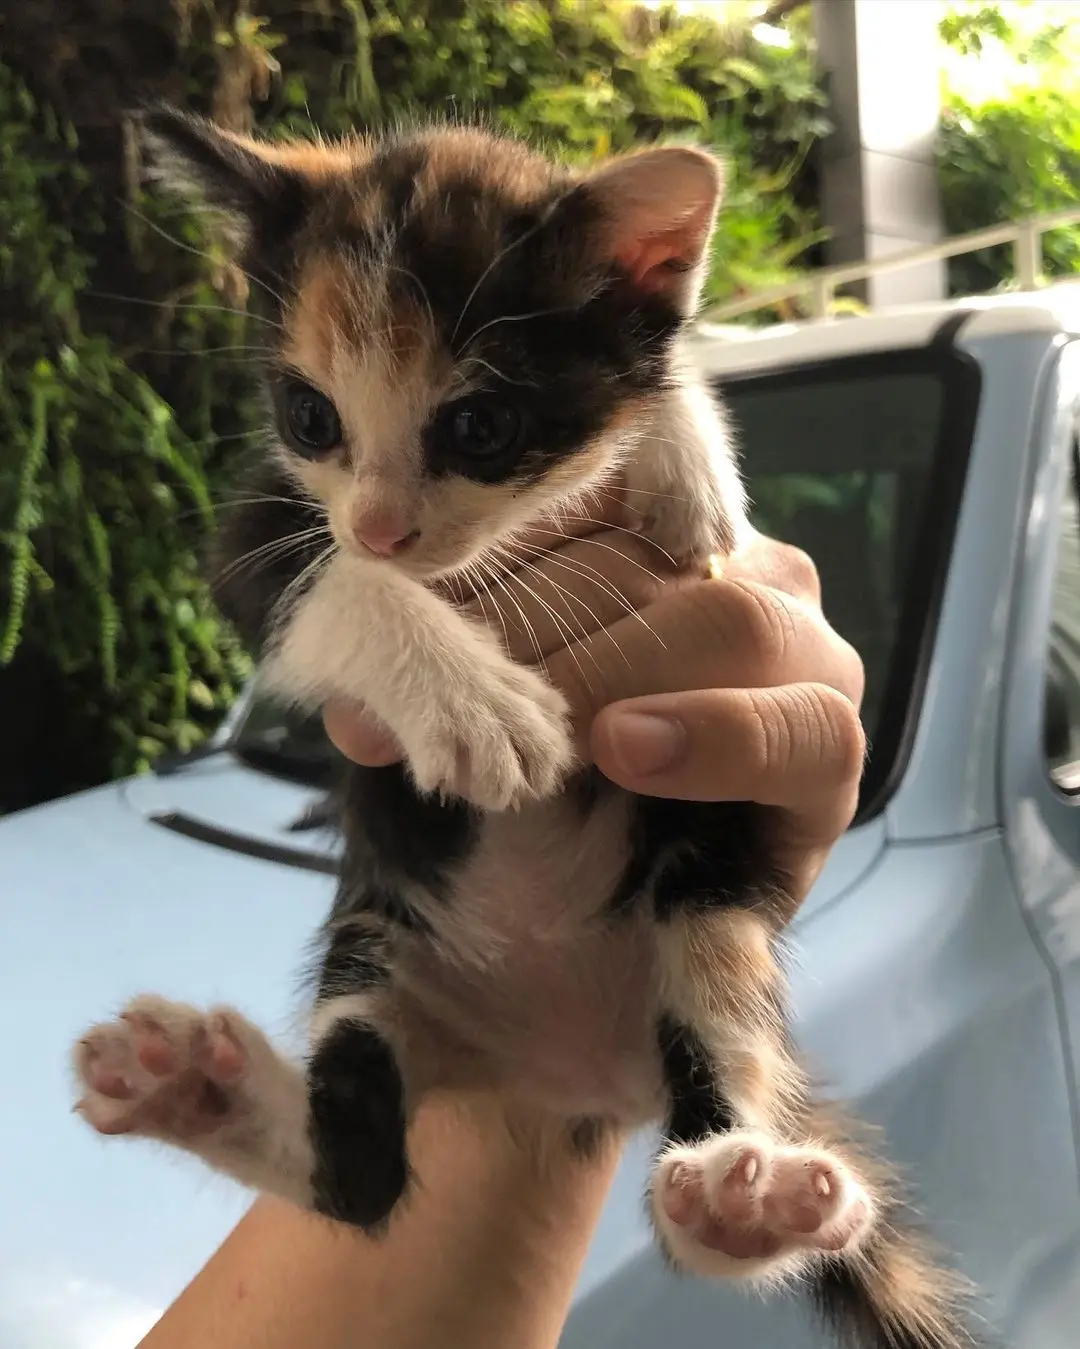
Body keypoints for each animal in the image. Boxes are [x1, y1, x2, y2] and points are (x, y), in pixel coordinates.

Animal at [72, 107, 980, 1349]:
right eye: (311, 415)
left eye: (482, 425)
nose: (382, 527)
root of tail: (569, 1073)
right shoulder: (263, 520)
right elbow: (329, 581)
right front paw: (476, 704)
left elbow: (662, 367)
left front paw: (688, 467)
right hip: (376, 935)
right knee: (361, 1175)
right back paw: (195, 1086)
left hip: (706, 903)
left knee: (712, 1092)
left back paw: (745, 1199)